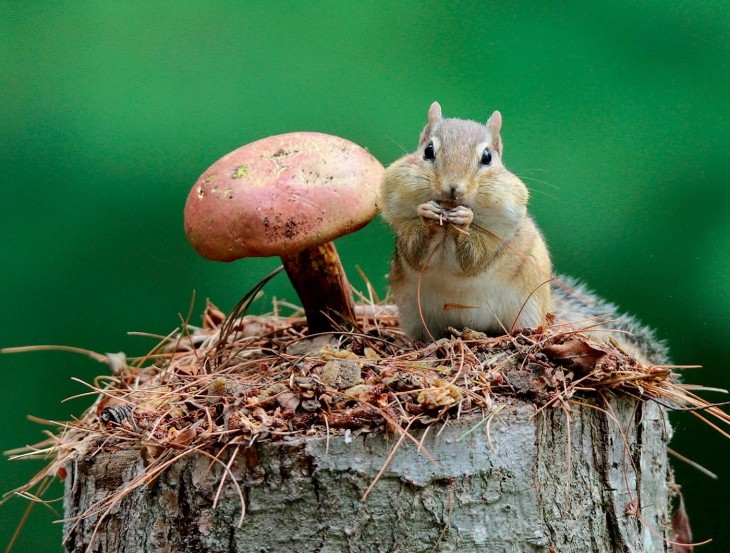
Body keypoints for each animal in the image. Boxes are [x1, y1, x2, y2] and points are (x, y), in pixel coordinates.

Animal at [380, 102, 668, 365]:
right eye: (428, 151)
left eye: (487, 157)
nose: (453, 189)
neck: (446, 229)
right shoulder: (404, 232)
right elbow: (414, 251)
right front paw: (427, 213)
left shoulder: (498, 238)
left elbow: (476, 258)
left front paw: (466, 219)